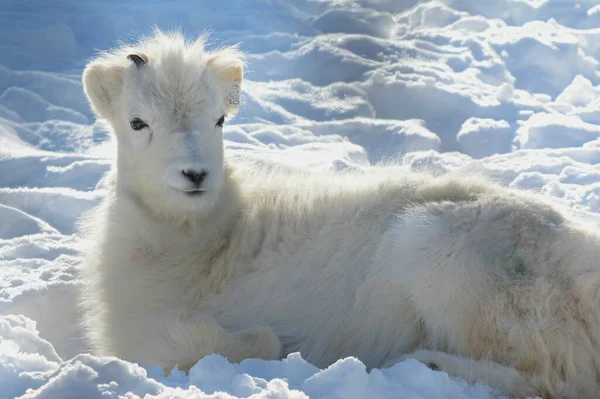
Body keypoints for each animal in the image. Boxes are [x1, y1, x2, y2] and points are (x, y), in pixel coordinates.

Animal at [81, 31, 600, 399]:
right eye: (137, 122)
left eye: (219, 120)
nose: (195, 174)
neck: (202, 240)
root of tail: (581, 270)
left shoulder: (144, 334)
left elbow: (243, 342)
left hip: (443, 259)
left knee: (553, 379)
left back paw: (421, 363)